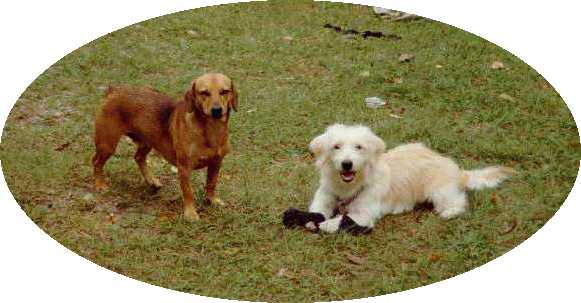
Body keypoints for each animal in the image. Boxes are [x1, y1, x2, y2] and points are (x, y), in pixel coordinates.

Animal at [92, 73, 237, 221]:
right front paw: (190, 213)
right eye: (204, 93)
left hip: (147, 141)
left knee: (138, 158)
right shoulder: (184, 168)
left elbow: (211, 184)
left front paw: (212, 200)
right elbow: (188, 192)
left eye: (224, 91)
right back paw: (100, 185)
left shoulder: (216, 162)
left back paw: (152, 181)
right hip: (107, 145)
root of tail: (114, 90)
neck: (211, 130)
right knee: (96, 162)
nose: (217, 110)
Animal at [300, 123, 512, 235]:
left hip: (440, 192)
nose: (347, 164)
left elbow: (345, 219)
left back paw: (448, 212)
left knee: (459, 202)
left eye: (358, 147)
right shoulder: (325, 195)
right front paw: (313, 219)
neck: (349, 186)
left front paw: (328, 224)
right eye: (336, 146)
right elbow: (317, 210)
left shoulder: (364, 214)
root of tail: (458, 170)